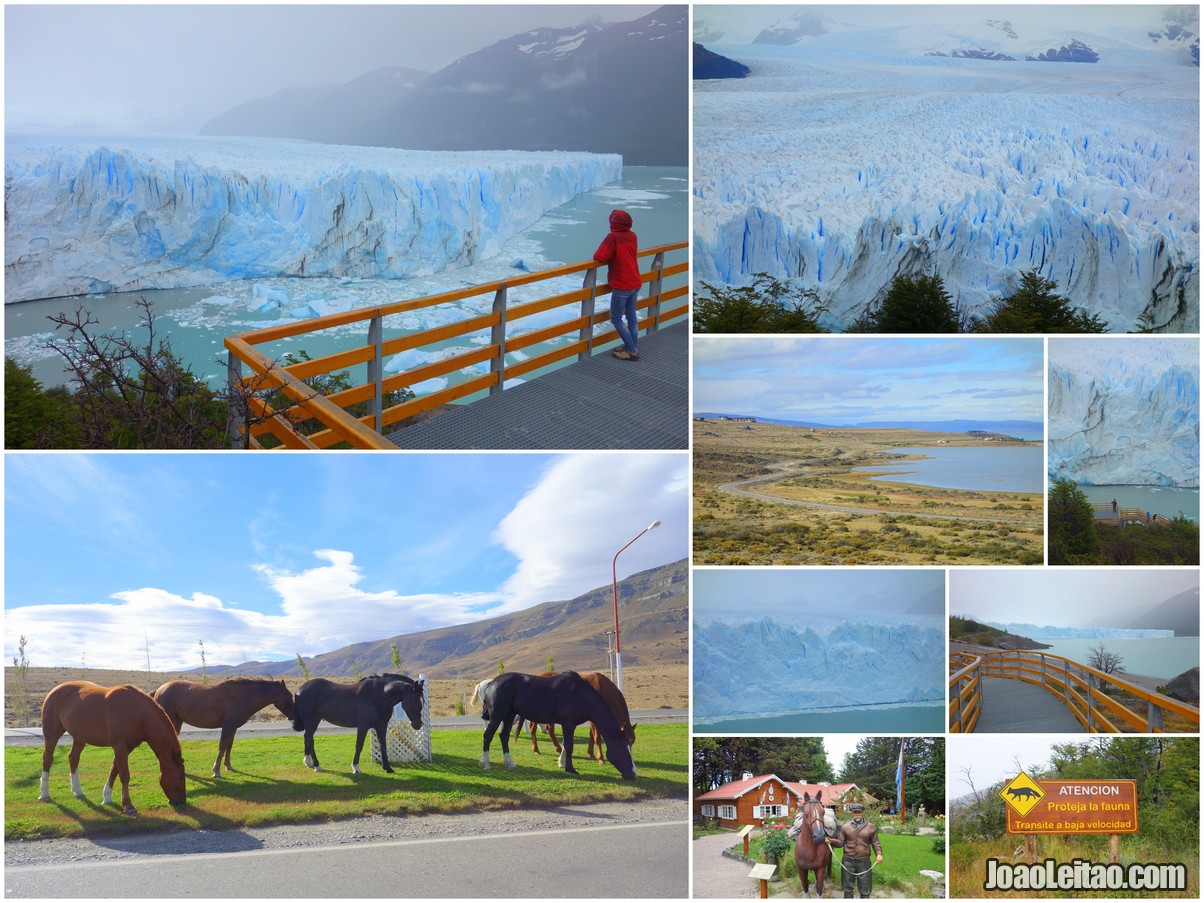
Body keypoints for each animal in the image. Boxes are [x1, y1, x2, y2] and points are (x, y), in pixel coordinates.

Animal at [37, 679, 185, 818]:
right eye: (180, 777)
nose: (181, 802)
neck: (137, 712)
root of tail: (54, 691)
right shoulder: (119, 746)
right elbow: (124, 775)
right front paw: (128, 806)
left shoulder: (127, 748)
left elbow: (114, 770)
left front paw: (107, 797)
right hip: (52, 734)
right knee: (47, 759)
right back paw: (44, 794)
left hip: (79, 737)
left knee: (73, 758)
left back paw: (77, 791)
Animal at [152, 679, 293, 780]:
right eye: (290, 696)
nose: (293, 715)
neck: (241, 697)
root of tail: (159, 690)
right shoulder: (227, 727)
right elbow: (221, 747)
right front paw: (216, 771)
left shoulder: (233, 728)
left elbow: (228, 746)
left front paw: (228, 766)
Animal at [290, 674, 423, 775]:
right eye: (416, 701)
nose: (418, 725)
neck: (378, 695)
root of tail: (300, 690)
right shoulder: (363, 726)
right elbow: (359, 745)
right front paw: (356, 768)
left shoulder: (381, 726)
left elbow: (383, 745)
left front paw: (388, 768)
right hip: (312, 721)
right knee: (309, 739)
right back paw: (317, 765)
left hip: (312, 722)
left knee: (307, 738)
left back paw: (308, 762)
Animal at [476, 674, 635, 780]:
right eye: (623, 750)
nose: (633, 774)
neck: (580, 694)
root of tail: (491, 683)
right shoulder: (569, 724)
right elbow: (569, 746)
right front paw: (570, 769)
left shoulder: (567, 725)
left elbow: (565, 744)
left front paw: (562, 763)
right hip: (497, 716)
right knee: (488, 735)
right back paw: (486, 763)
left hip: (509, 716)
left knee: (503, 736)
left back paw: (509, 763)